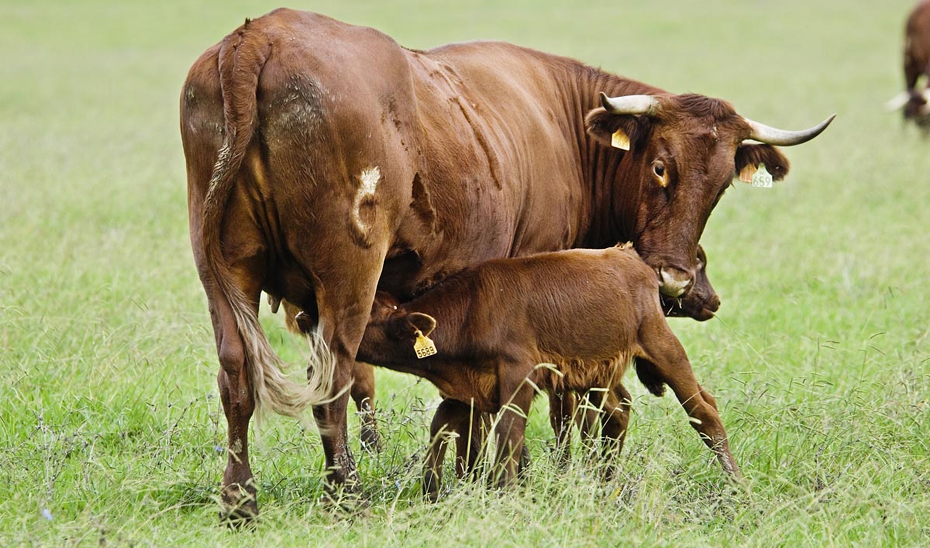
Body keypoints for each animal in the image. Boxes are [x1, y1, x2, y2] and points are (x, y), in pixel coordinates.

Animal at [300, 244, 736, 496]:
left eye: (367, 318)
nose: (308, 317)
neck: (473, 310)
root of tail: (627, 254)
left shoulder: (519, 374)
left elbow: (509, 434)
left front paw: (503, 493)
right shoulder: (467, 388)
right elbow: (442, 427)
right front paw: (432, 489)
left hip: (661, 343)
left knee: (703, 410)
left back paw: (736, 484)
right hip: (598, 369)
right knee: (618, 411)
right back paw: (605, 481)